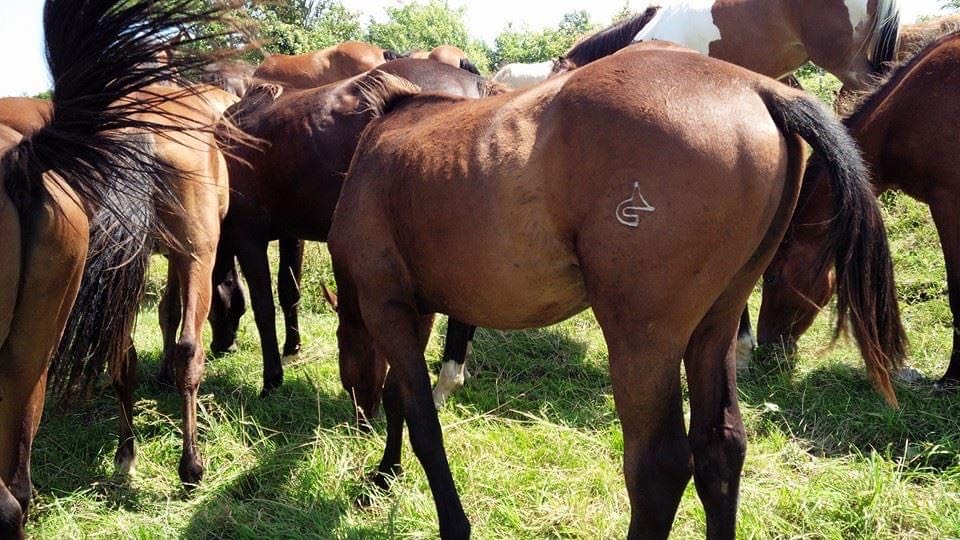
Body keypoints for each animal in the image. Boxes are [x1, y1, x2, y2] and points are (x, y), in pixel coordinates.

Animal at [0, 0, 232, 535]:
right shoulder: (184, 256)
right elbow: (173, 317)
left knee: (119, 355)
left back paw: (126, 456)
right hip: (197, 254)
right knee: (189, 348)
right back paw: (191, 468)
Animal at [213, 59, 504, 421]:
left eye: (212, 309)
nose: (220, 347)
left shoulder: (248, 235)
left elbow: (264, 307)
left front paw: (271, 381)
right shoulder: (291, 234)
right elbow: (289, 293)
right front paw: (291, 352)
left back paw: (443, 386)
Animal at [326, 41, 906, 539]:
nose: (356, 416)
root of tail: (758, 87)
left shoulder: (386, 307)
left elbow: (422, 419)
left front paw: (437, 512)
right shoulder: (416, 311)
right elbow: (402, 400)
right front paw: (385, 474)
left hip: (642, 341)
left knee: (659, 467)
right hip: (713, 327)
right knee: (720, 448)